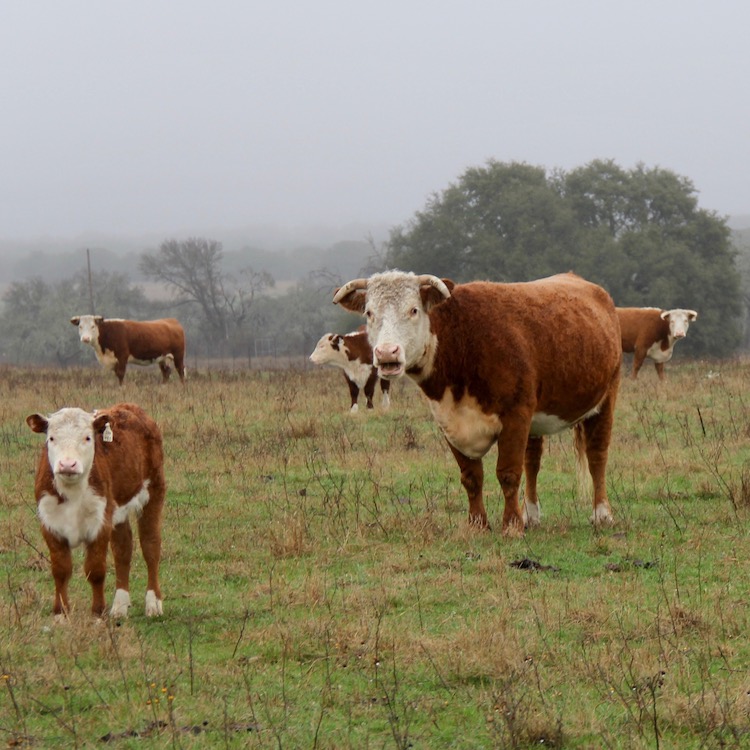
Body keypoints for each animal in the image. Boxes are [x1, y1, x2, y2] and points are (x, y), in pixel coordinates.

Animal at [27, 402, 167, 620]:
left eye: (87, 438)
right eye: (51, 438)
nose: (67, 464)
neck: (72, 492)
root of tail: (130, 407)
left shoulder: (100, 522)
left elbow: (95, 569)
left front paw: (97, 614)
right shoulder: (50, 524)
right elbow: (60, 570)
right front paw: (60, 614)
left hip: (154, 491)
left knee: (150, 545)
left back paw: (153, 604)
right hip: (118, 510)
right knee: (123, 549)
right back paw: (119, 607)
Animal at [334, 270, 624, 536]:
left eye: (413, 310)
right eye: (369, 313)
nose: (386, 353)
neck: (461, 344)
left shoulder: (515, 415)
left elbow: (508, 473)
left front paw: (511, 526)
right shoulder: (449, 421)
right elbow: (471, 477)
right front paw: (478, 525)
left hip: (606, 398)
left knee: (597, 456)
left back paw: (602, 514)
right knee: (533, 460)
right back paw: (531, 515)